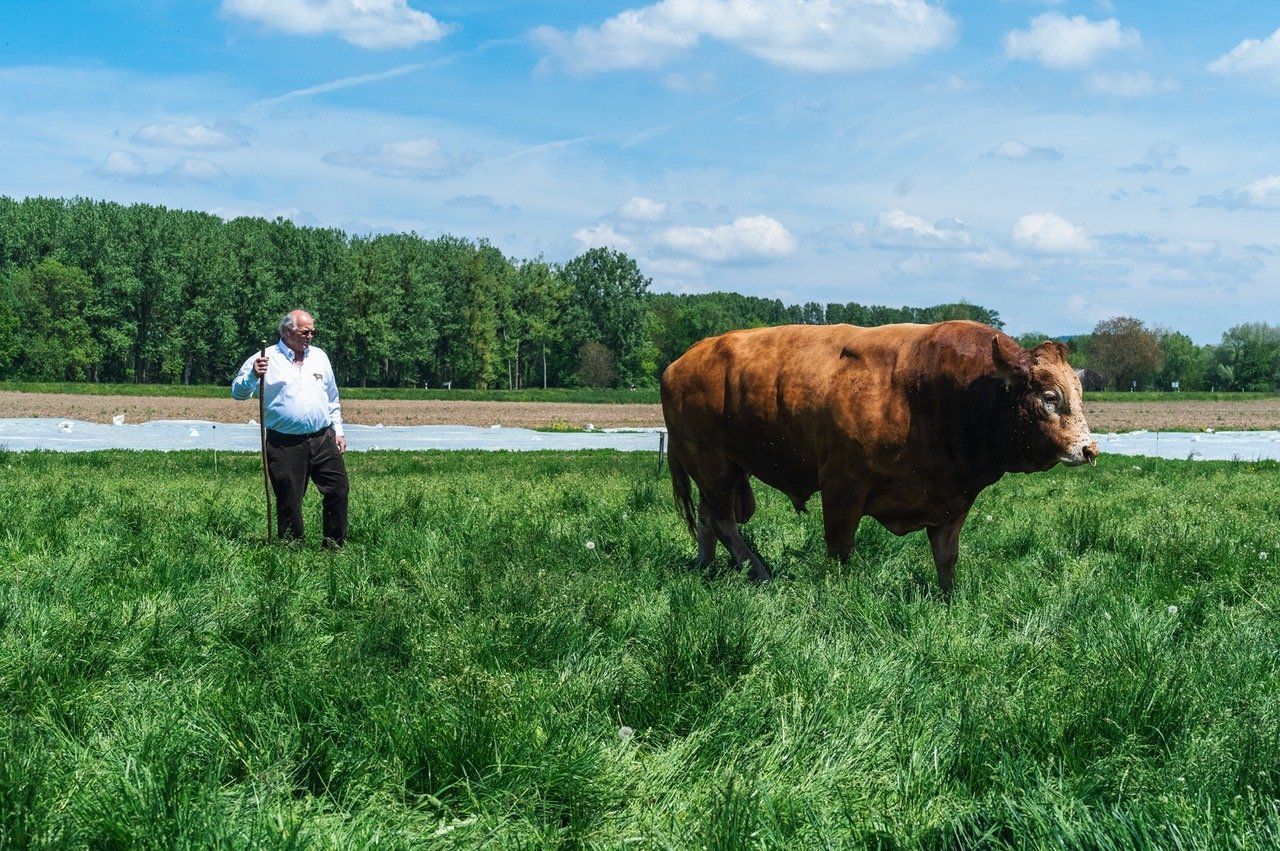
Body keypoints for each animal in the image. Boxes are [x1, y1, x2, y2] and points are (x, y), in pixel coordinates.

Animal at [659, 321, 1098, 590]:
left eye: (1079, 395)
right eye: (1049, 397)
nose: (1089, 449)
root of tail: (683, 359)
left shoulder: (952, 499)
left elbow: (947, 557)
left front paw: (949, 599)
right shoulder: (842, 487)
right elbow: (840, 549)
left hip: (726, 470)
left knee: (708, 519)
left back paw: (706, 568)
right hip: (711, 464)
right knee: (723, 520)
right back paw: (759, 571)